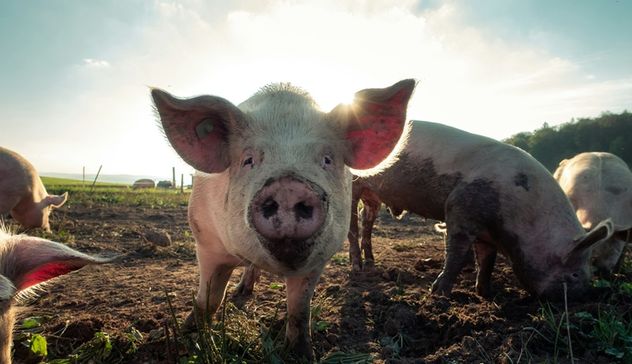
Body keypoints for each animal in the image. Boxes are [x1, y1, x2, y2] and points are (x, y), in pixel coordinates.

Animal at [151, 78, 418, 360]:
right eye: (248, 160)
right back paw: (241, 293)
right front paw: (188, 336)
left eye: (327, 159)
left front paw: (301, 354)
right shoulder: (206, 241)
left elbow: (299, 310)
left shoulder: (318, 260)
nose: (289, 187)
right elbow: (209, 298)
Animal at [348, 119, 616, 298]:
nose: (583, 299)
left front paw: (486, 293)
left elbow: (487, 260)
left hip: (373, 196)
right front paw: (438, 294)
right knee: (352, 224)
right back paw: (357, 267)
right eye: (574, 274)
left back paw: (371, 263)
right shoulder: (459, 208)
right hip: (354, 184)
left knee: (366, 219)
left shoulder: (487, 233)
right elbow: (456, 254)